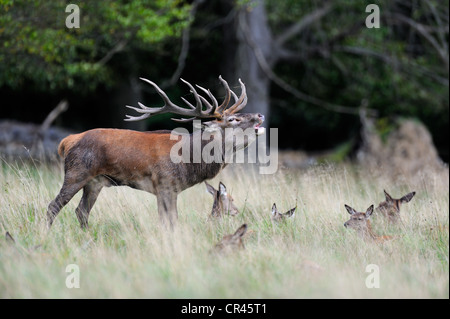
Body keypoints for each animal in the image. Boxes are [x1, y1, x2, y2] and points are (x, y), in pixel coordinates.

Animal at [46, 76, 264, 229]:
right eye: (233, 120)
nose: (260, 115)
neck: (189, 160)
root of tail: (67, 140)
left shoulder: (167, 189)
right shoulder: (166, 184)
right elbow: (171, 220)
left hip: (95, 182)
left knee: (81, 211)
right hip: (77, 172)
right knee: (53, 207)